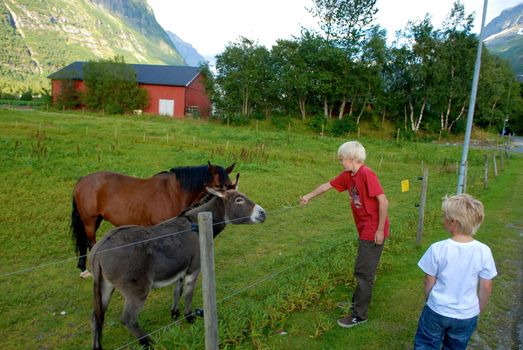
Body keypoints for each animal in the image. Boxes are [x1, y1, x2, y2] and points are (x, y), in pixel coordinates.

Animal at [70, 161, 234, 276]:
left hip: (96, 219)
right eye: (219, 185)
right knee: (91, 242)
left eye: (230, 185)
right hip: (89, 221)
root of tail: (82, 180)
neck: (173, 192)